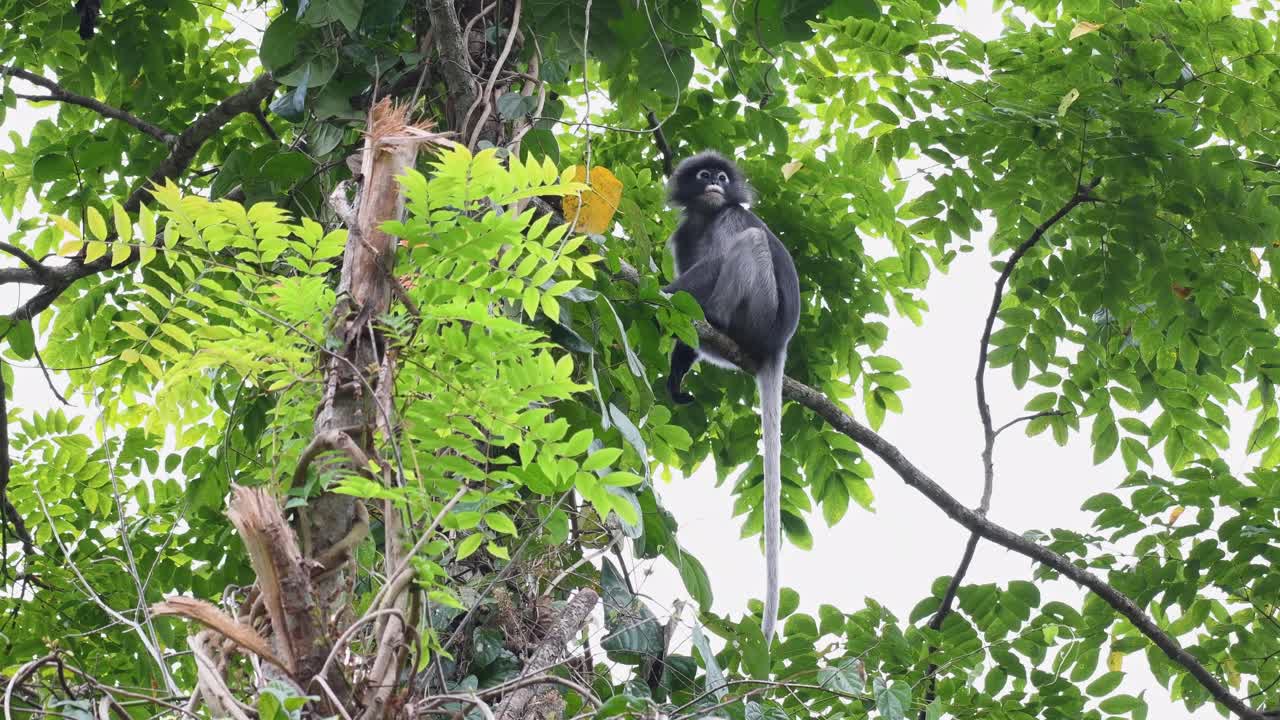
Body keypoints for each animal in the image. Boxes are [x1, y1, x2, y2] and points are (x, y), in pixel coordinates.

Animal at [662, 151, 800, 643]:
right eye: (705, 176)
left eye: (723, 178)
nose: (716, 184)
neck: (707, 215)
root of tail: (779, 342)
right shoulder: (684, 233)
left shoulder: (728, 216)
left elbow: (719, 257)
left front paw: (664, 289)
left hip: (759, 314)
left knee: (751, 241)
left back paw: (714, 316)